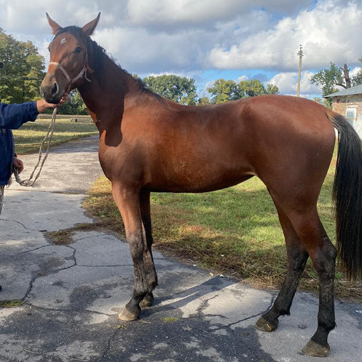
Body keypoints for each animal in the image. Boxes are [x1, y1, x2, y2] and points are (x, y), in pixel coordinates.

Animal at [40, 13, 362, 356]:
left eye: (77, 49)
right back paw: (272, 315)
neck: (123, 115)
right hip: (282, 198)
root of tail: (323, 111)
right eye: (50, 47)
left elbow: (135, 242)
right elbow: (148, 238)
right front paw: (150, 293)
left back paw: (320, 335)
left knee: (323, 256)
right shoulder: (142, 191)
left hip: (297, 202)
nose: (49, 90)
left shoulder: (124, 189)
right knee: (297, 253)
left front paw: (134, 302)